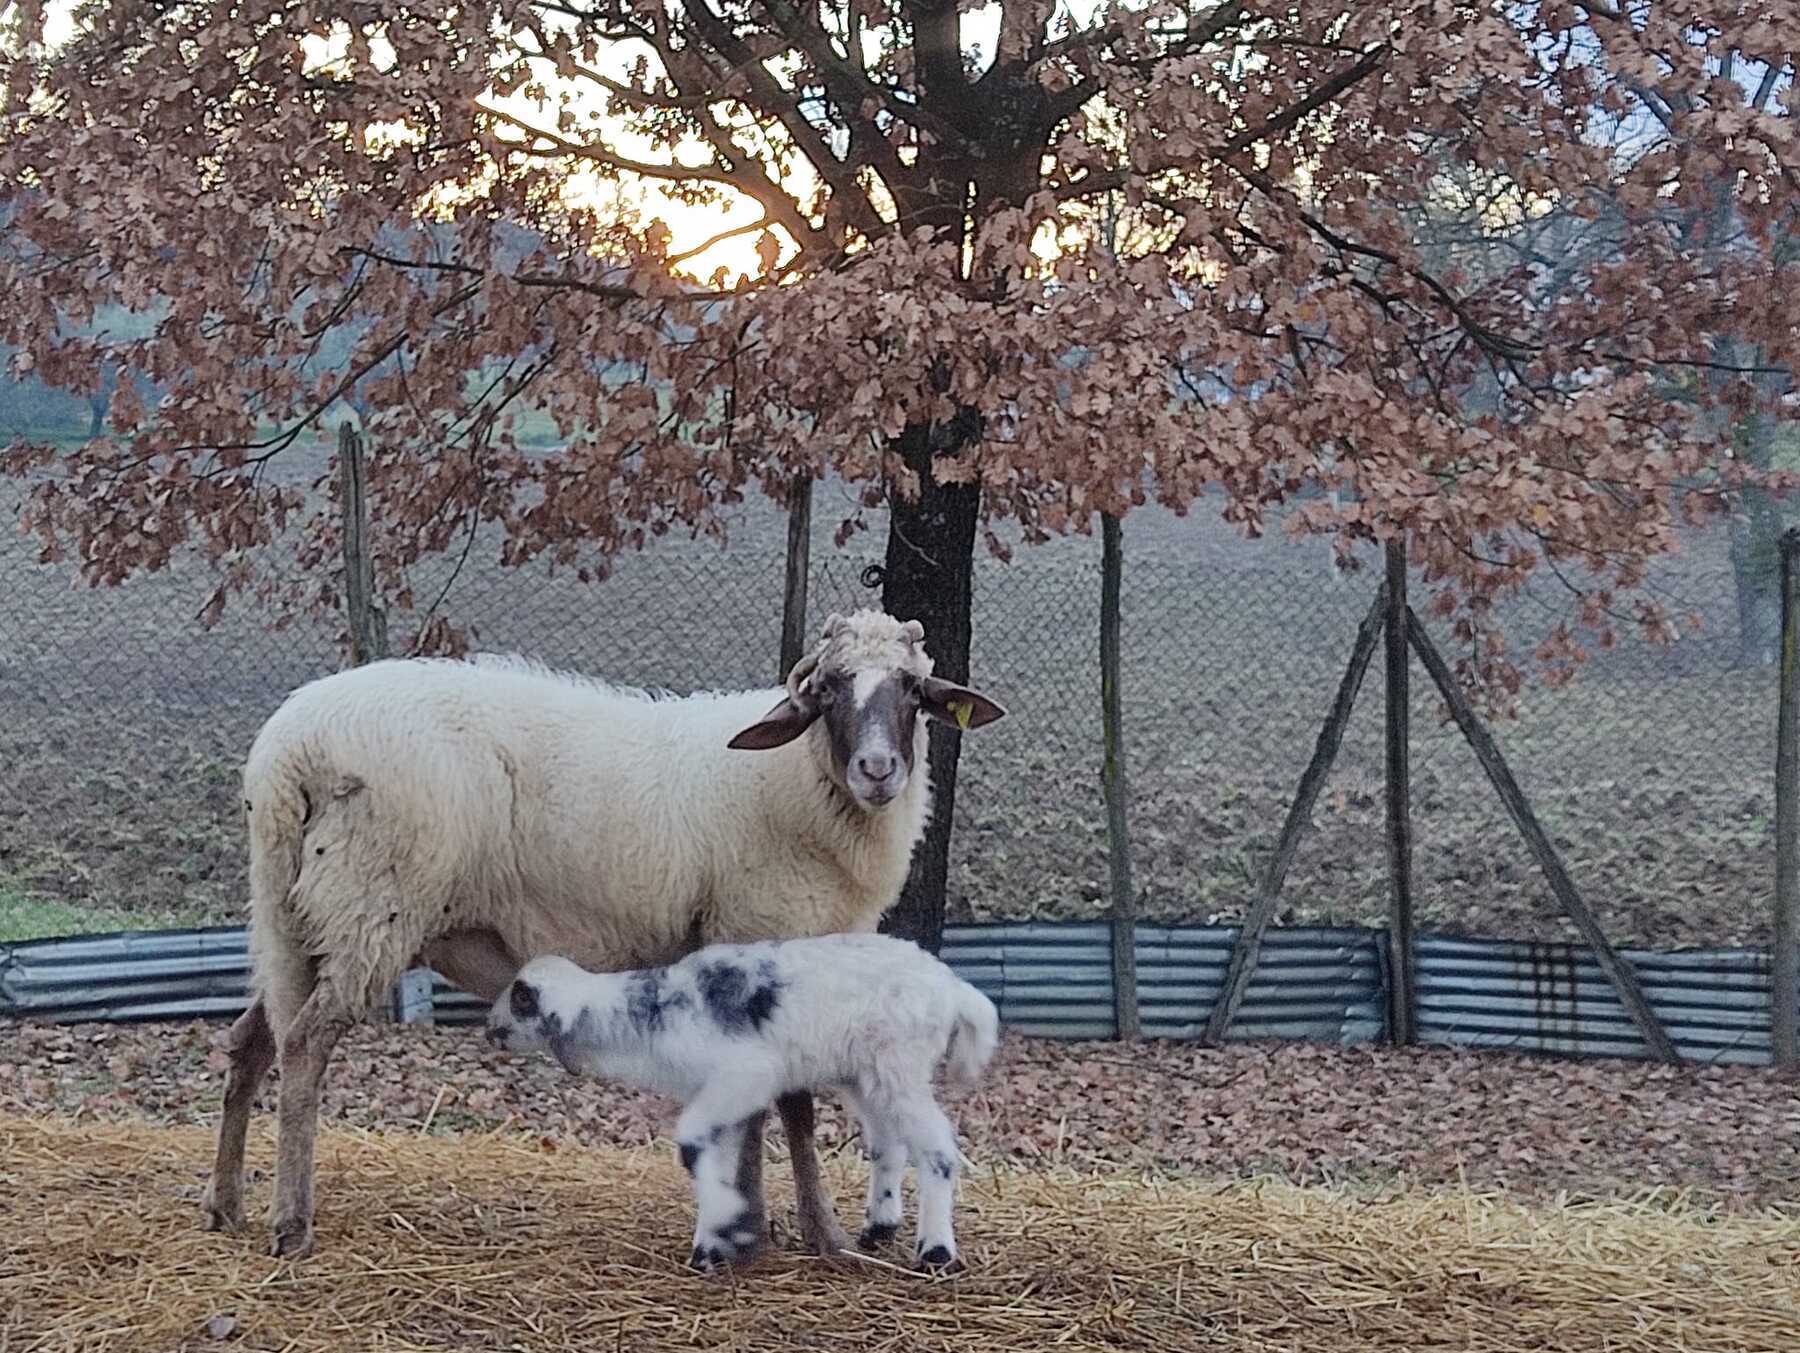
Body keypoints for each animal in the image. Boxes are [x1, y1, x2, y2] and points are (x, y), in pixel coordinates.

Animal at [486, 935, 1008, 1273]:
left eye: (521, 1000)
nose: (490, 1030)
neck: (648, 1018)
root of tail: (954, 987)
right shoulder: (721, 1097)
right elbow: (716, 1159)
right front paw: (714, 1244)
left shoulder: (744, 1077)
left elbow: (691, 1145)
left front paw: (723, 1229)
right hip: (868, 1075)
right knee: (890, 1144)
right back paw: (878, 1228)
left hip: (899, 1065)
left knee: (937, 1148)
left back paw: (936, 1252)